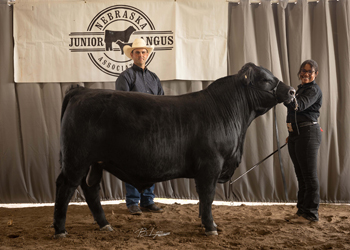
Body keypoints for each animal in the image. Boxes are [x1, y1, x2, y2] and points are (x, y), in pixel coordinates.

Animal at [54, 62, 296, 236]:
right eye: (266, 80)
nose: (292, 91)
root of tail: (82, 92)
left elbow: (203, 199)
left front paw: (204, 223)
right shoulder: (210, 165)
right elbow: (207, 196)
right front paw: (211, 227)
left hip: (95, 162)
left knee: (90, 189)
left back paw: (104, 224)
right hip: (76, 159)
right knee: (65, 186)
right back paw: (60, 229)